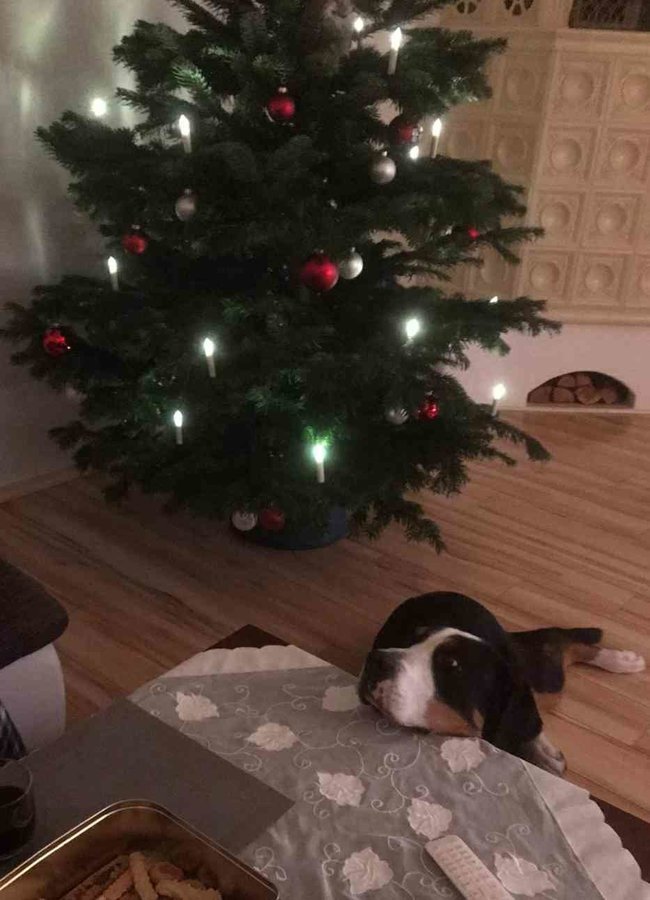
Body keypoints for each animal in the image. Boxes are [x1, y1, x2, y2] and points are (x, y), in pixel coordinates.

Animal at [358, 592, 645, 774]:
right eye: (410, 640)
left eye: (452, 666)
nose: (375, 661)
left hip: (538, 681)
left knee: (555, 643)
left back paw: (622, 660)